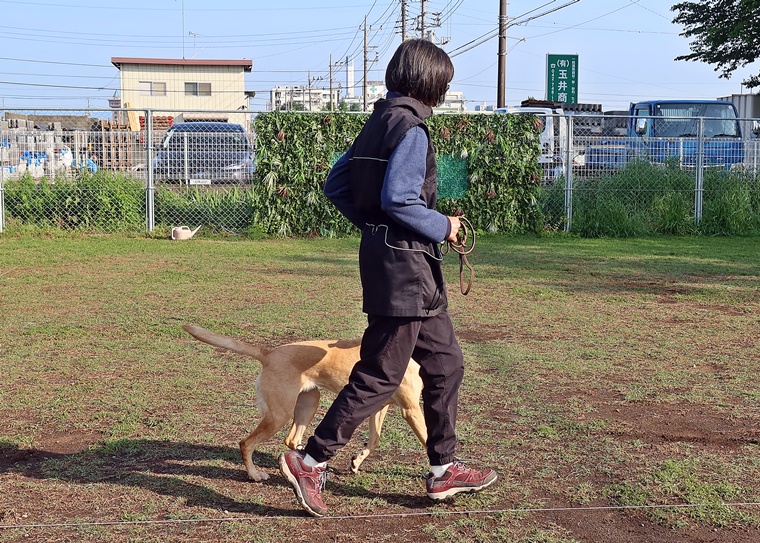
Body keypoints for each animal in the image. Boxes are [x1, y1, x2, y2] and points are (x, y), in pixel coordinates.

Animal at [183, 325, 427, 482]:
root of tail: (269, 352)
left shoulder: (380, 408)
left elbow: (374, 440)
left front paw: (356, 461)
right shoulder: (411, 410)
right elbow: (428, 439)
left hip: (309, 403)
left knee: (291, 439)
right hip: (279, 415)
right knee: (246, 443)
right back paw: (255, 475)